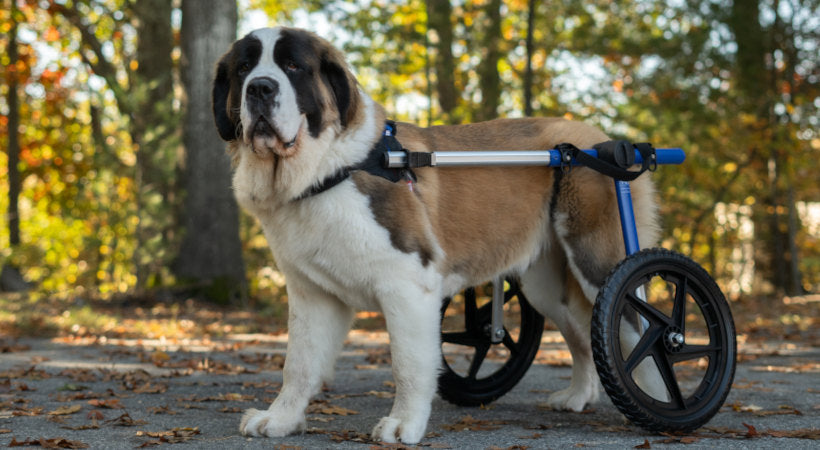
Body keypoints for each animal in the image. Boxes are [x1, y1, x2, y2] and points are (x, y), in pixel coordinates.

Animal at [213, 27, 668, 442]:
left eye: (293, 66)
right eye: (243, 69)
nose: (260, 88)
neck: (329, 171)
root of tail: (606, 140)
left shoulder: (408, 285)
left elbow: (409, 363)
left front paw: (403, 424)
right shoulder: (312, 293)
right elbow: (299, 362)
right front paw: (281, 419)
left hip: (597, 259)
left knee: (633, 325)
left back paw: (661, 405)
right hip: (546, 284)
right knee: (583, 332)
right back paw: (578, 396)